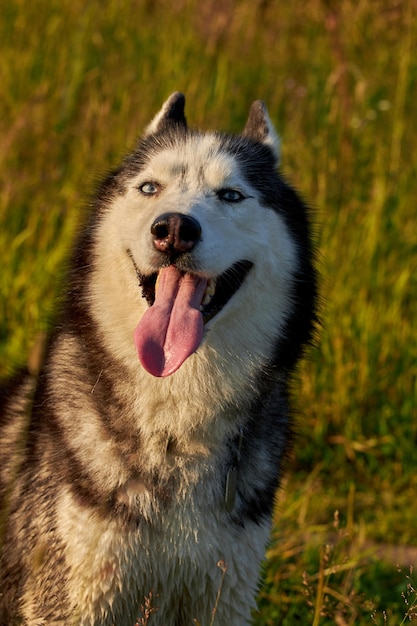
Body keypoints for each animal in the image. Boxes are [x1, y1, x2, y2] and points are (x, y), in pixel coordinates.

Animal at [0, 94, 316, 624]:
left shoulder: (221, 595)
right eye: (150, 187)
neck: (175, 422)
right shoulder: (70, 598)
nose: (173, 228)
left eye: (231, 196)